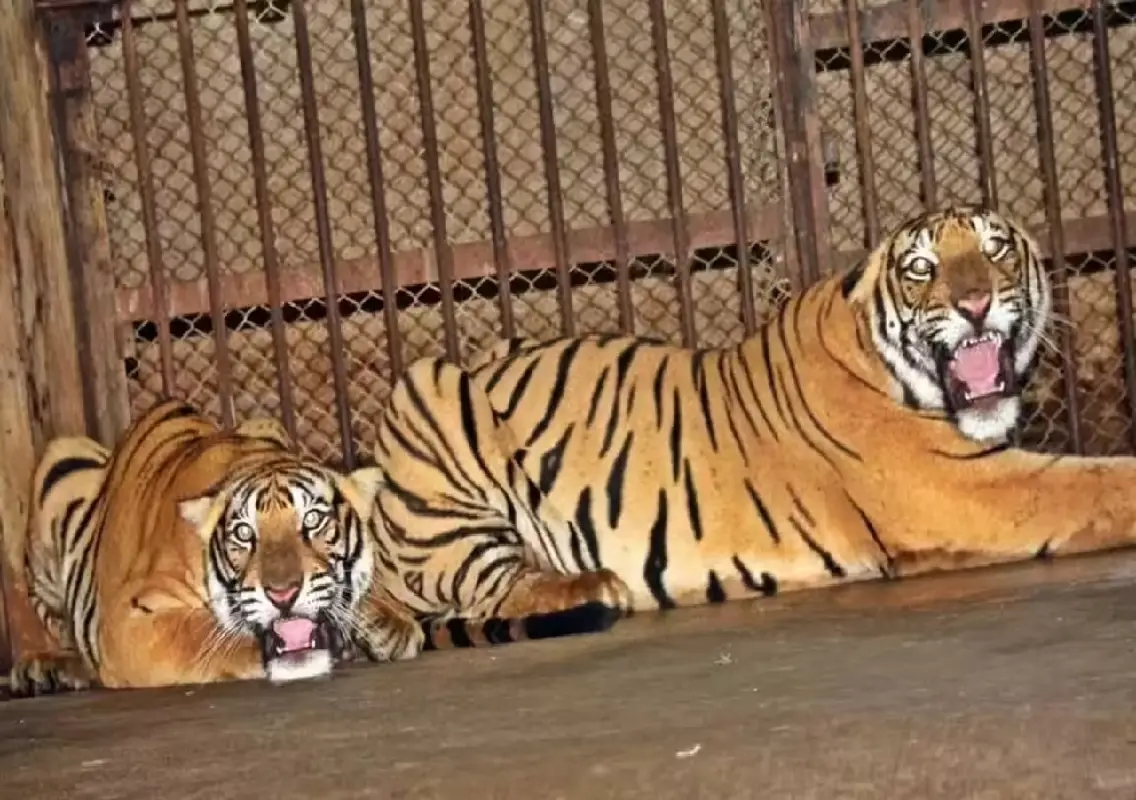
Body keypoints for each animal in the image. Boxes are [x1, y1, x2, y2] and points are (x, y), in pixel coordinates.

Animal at [7, 399, 615, 697]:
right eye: (243, 534)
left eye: (314, 522)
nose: (283, 593)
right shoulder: (129, 622)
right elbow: (202, 637)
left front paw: (384, 626)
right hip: (62, 465)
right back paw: (49, 666)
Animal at [365, 204, 1136, 626]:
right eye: (921, 268)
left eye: (995, 247)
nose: (976, 304)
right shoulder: (969, 488)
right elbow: (1103, 481)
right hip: (430, 396)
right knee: (488, 586)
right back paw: (593, 587)